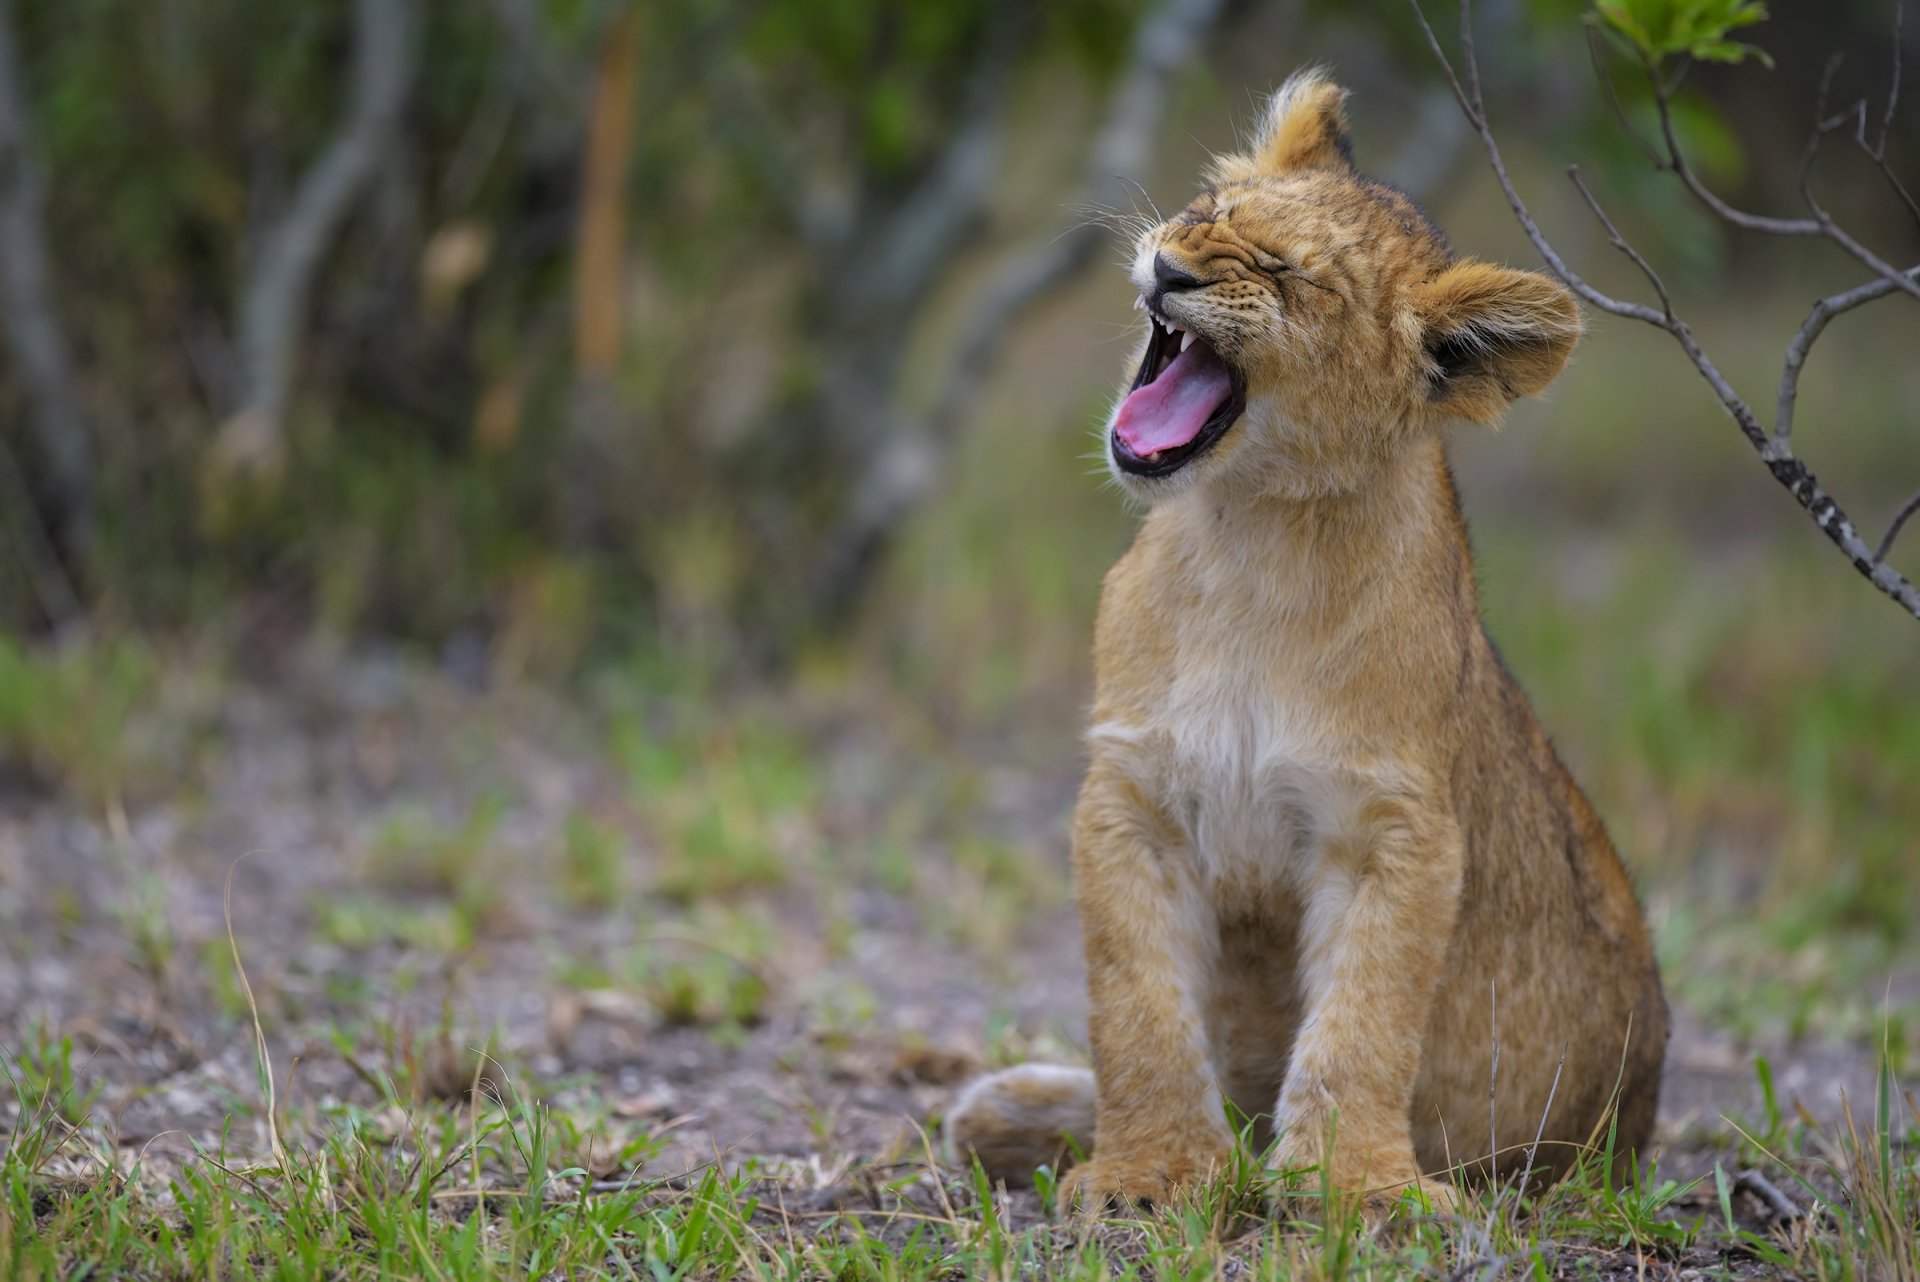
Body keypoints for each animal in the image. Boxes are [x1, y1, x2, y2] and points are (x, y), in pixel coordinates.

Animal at [943, 69, 1667, 1216]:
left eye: (1294, 277)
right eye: (1209, 207)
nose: (1171, 265)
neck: (1252, 539)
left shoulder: (1396, 829)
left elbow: (1365, 1021)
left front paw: (1354, 1187)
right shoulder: (1132, 799)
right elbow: (1137, 1008)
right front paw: (1149, 1172)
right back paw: (1009, 1109)